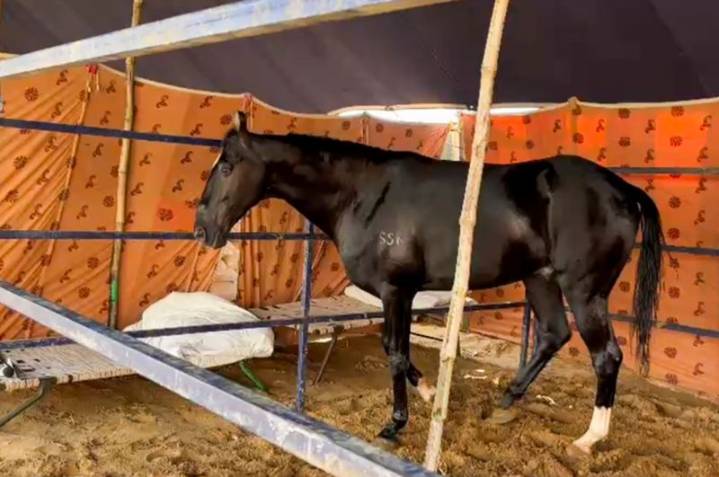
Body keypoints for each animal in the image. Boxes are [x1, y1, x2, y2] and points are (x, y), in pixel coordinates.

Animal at [194, 112, 663, 456]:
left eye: (228, 165)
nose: (202, 229)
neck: (364, 194)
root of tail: (623, 190)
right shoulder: (401, 294)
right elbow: (395, 349)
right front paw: (431, 392)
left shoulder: (396, 291)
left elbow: (396, 353)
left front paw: (394, 424)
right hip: (541, 279)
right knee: (553, 335)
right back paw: (506, 402)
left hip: (584, 291)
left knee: (606, 356)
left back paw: (588, 438)